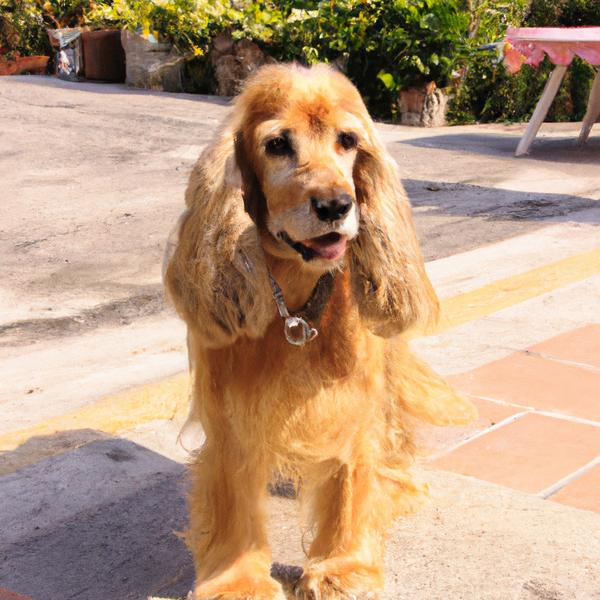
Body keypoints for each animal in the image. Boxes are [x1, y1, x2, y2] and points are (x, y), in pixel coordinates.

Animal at [163, 62, 474, 600]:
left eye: (348, 140)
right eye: (276, 144)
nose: (335, 205)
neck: (296, 300)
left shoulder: (354, 400)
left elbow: (352, 477)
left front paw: (343, 567)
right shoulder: (229, 410)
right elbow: (232, 495)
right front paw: (237, 579)